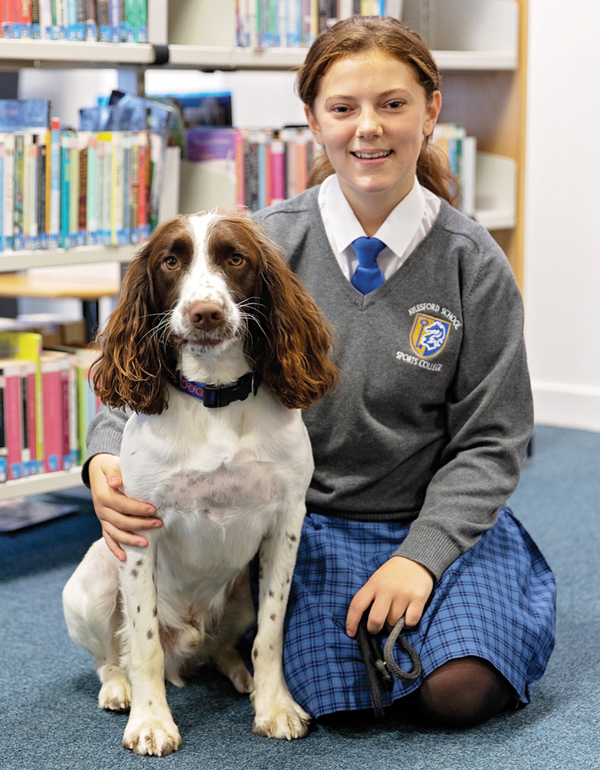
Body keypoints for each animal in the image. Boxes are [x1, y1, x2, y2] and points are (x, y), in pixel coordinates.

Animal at [65, 208, 340, 752]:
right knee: (114, 655)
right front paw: (151, 721)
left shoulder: (286, 522)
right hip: (91, 580)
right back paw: (119, 688)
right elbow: (144, 640)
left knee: (221, 648)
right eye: (170, 262)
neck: (214, 396)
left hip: (240, 592)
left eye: (235, 258)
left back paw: (240, 676)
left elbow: (270, 635)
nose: (206, 314)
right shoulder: (139, 529)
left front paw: (274, 706)